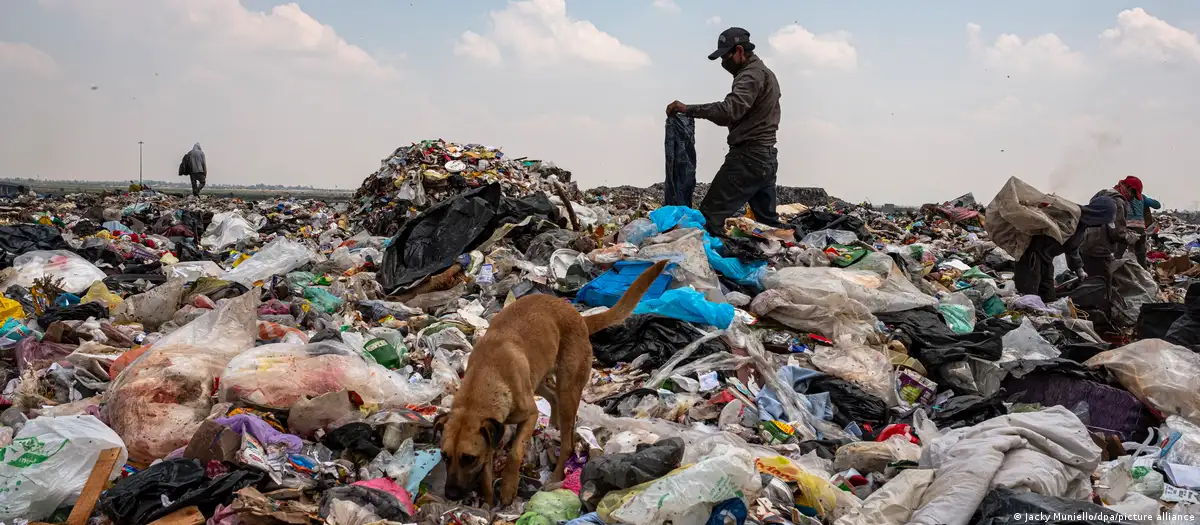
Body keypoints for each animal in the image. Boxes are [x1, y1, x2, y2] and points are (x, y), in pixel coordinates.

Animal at [439, 258, 667, 503]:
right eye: (444, 456)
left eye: (468, 458)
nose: (450, 495)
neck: (483, 380)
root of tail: (579, 317)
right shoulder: (492, 432)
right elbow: (487, 467)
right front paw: (488, 499)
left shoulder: (528, 415)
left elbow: (515, 452)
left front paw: (508, 488)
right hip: (539, 376)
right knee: (552, 396)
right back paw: (553, 424)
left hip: (568, 386)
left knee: (567, 442)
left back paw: (556, 477)